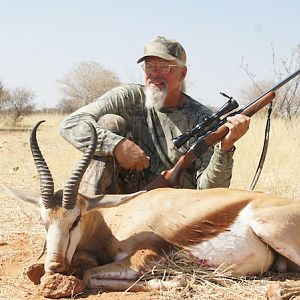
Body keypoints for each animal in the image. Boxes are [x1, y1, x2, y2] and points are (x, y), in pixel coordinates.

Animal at [3, 120, 300, 292]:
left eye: (75, 219)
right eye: (43, 222)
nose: (54, 266)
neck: (112, 220)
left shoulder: (147, 255)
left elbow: (89, 275)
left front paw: (179, 281)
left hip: (271, 231)